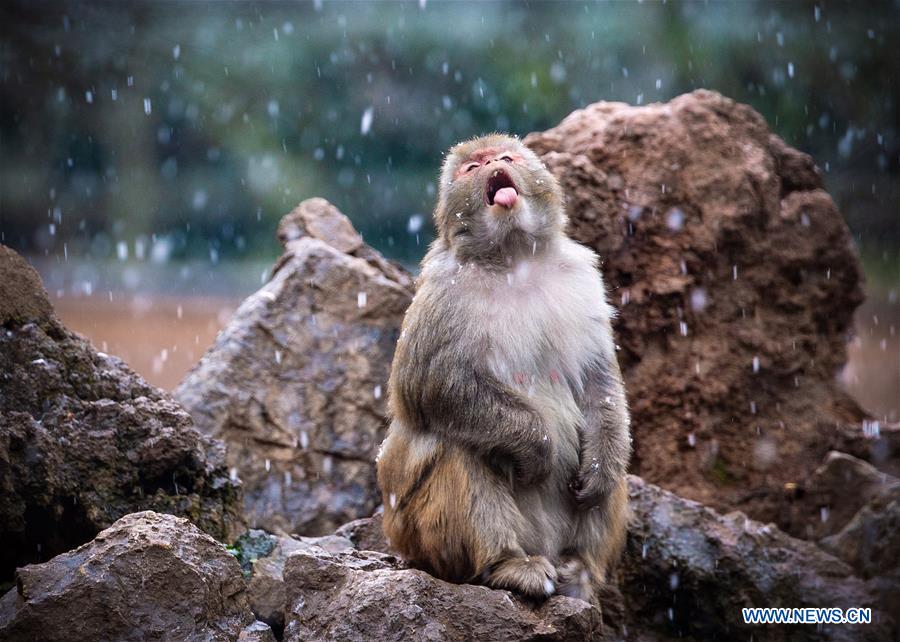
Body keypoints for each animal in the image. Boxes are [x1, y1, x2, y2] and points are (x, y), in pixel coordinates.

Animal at [376, 133, 631, 605]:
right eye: (471, 168)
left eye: (506, 157)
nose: (494, 165)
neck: (514, 259)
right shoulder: (445, 294)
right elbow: (432, 387)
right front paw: (536, 446)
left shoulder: (584, 280)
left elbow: (597, 379)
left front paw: (599, 468)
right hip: (417, 535)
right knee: (460, 444)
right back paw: (508, 565)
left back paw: (580, 571)